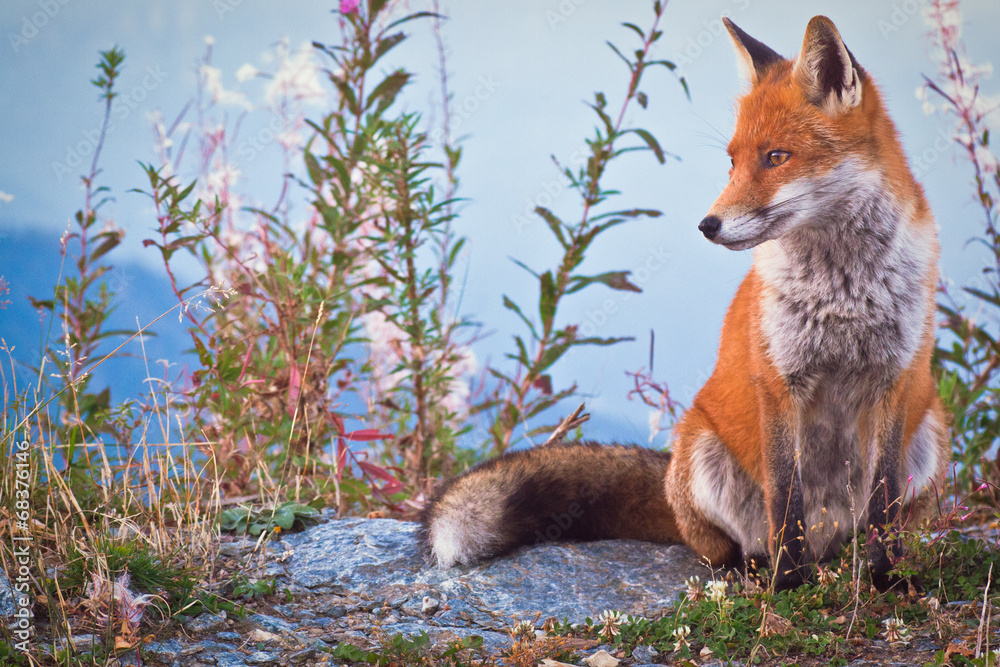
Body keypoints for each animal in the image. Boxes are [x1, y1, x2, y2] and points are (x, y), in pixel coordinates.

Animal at [420, 15, 949, 591]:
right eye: (732, 161)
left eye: (777, 158)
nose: (707, 225)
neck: (843, 290)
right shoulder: (778, 383)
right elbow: (785, 499)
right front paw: (788, 587)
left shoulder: (895, 380)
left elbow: (883, 501)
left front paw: (887, 581)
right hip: (700, 453)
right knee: (727, 545)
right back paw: (754, 572)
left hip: (932, 434)